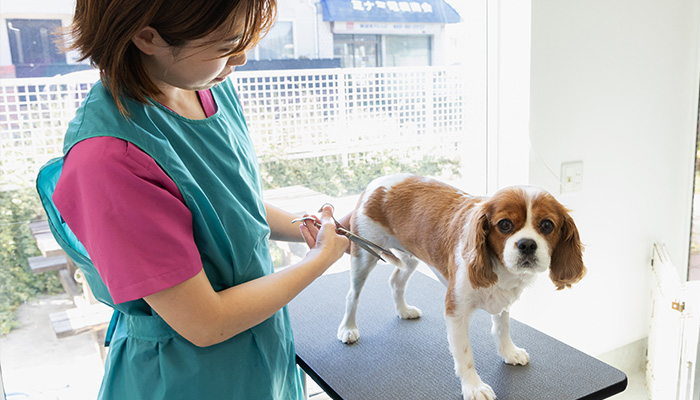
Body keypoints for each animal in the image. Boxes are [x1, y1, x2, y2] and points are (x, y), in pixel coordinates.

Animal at [338, 174, 584, 400]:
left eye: (547, 225)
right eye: (504, 225)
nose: (527, 244)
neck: (499, 267)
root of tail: (376, 181)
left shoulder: (503, 300)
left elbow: (502, 328)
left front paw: (509, 352)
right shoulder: (456, 311)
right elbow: (465, 355)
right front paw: (474, 387)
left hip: (410, 256)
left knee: (396, 281)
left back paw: (403, 310)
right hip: (363, 253)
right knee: (352, 295)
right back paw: (348, 328)